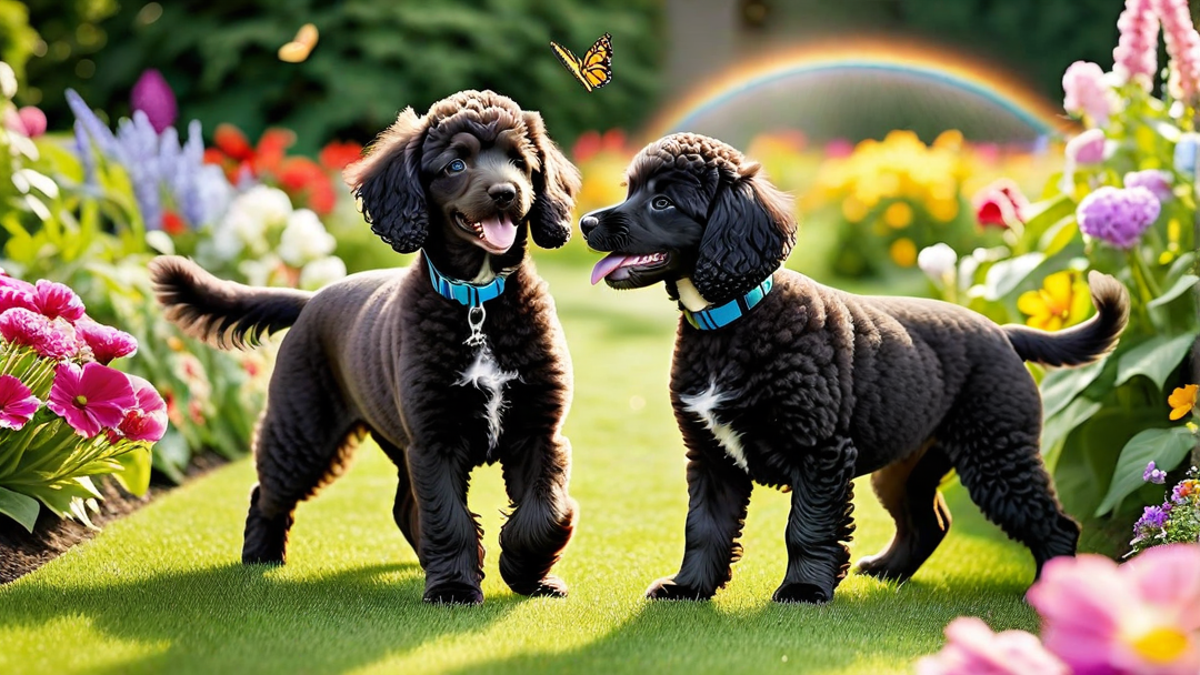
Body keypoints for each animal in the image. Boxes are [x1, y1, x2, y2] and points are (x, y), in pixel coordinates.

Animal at [150, 90, 580, 605]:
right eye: (456, 164)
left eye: (520, 162)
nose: (506, 193)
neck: (477, 302)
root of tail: (312, 297)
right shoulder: (434, 440)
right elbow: (449, 517)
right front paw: (455, 588)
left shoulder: (537, 430)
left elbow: (545, 511)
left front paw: (530, 575)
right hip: (304, 429)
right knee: (268, 492)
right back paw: (261, 556)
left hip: (389, 438)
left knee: (404, 506)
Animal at [585, 132, 1128, 605]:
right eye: (630, 190)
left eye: (662, 203)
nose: (587, 223)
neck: (732, 322)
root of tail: (1003, 331)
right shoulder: (711, 455)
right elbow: (704, 528)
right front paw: (688, 588)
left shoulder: (820, 452)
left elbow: (806, 528)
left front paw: (802, 591)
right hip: (906, 465)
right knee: (929, 523)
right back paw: (887, 570)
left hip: (997, 452)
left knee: (1057, 525)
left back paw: (1053, 592)